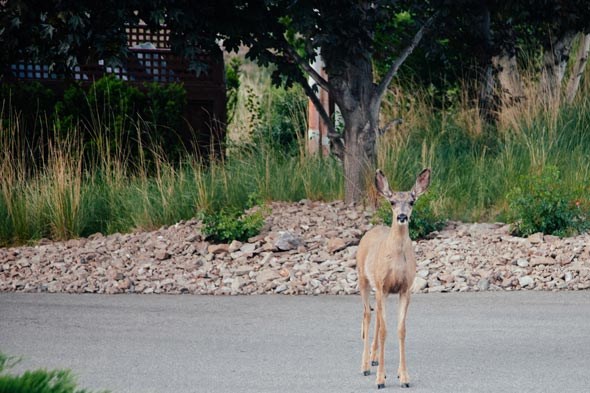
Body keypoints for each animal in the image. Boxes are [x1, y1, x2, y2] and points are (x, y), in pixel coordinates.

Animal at [358, 167, 432, 388]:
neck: (397, 260)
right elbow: (384, 330)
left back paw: (373, 358)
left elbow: (401, 330)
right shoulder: (382, 286)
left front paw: (404, 376)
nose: (401, 216)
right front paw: (380, 379)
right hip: (363, 279)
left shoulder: (404, 289)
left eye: (412, 201)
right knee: (367, 315)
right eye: (391, 202)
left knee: (375, 317)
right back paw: (365, 365)